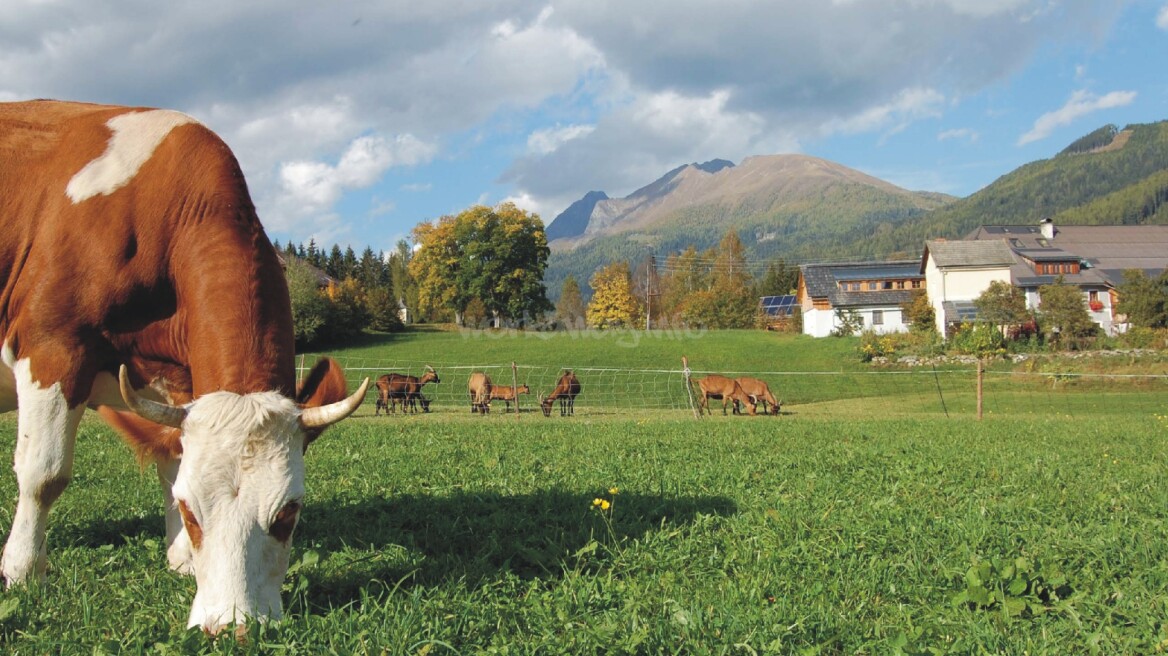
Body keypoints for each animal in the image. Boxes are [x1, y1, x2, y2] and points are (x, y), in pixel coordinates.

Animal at [0, 100, 369, 634]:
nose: (233, 626)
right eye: (191, 511)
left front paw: (183, 562)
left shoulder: (175, 378)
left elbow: (172, 455)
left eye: (289, 514)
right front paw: (23, 570)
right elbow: (43, 473)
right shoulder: (52, 345)